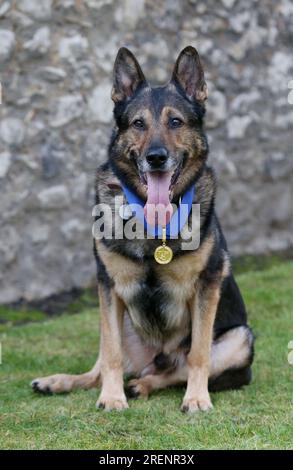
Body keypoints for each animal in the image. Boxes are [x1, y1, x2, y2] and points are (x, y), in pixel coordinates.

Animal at [32, 46, 253, 412]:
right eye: (138, 124)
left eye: (175, 122)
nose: (156, 157)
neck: (154, 225)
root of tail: (154, 360)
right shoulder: (108, 287)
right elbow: (110, 355)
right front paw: (111, 397)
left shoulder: (207, 285)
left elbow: (198, 355)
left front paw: (196, 398)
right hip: (120, 321)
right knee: (102, 366)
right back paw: (61, 381)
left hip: (240, 339)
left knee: (175, 371)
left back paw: (144, 385)